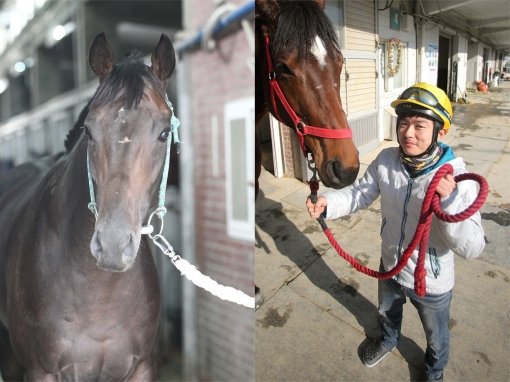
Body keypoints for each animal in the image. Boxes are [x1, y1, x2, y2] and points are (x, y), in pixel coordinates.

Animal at [0, 33, 175, 382]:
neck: (100, 294)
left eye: (164, 133)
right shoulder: (40, 371)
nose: (113, 247)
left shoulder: (141, 368)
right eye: (89, 130)